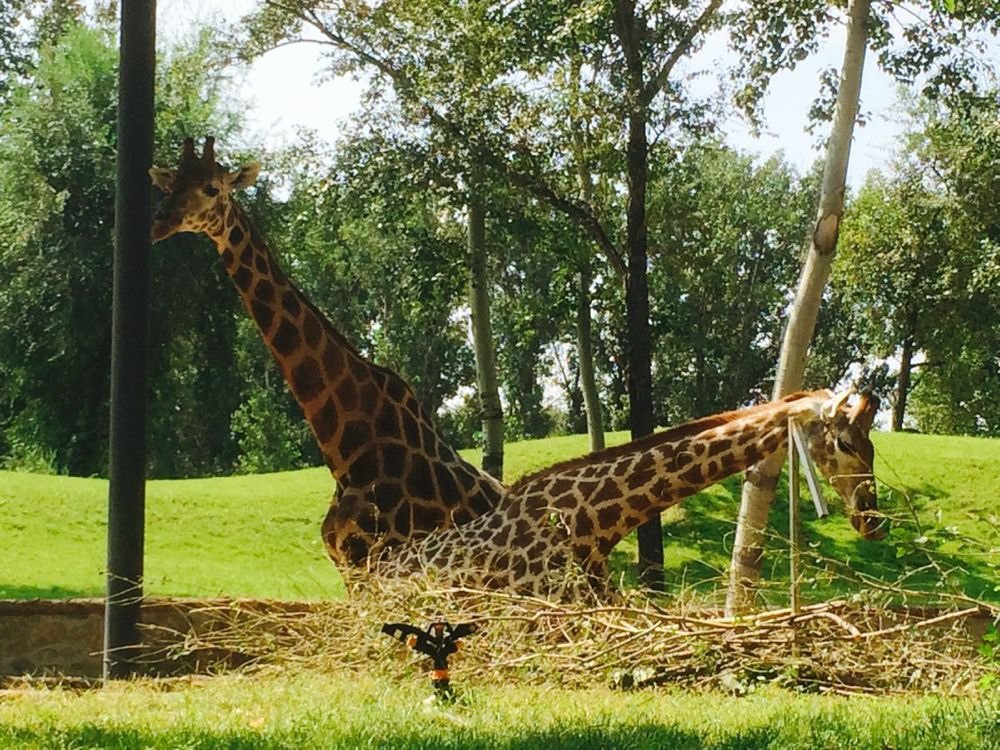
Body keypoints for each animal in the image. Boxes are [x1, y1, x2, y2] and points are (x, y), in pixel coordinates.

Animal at [146, 137, 508, 568]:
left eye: (212, 188)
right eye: (170, 185)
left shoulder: (388, 558)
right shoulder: (350, 566)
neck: (345, 451)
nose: (160, 222)